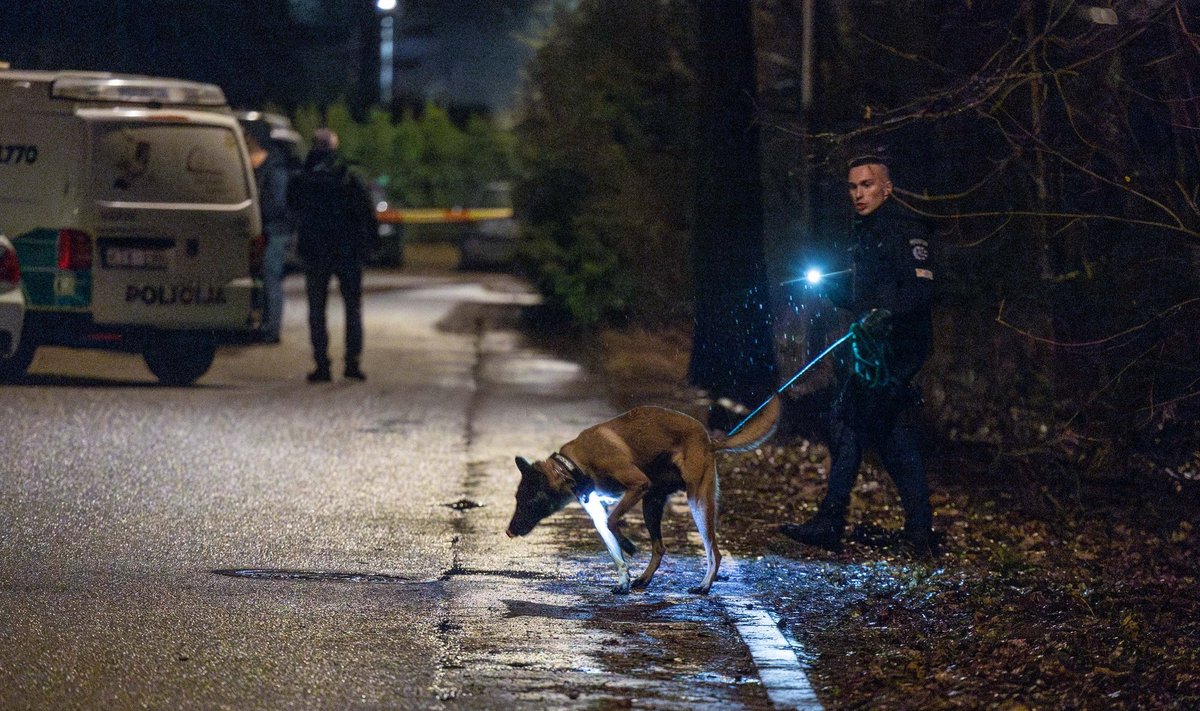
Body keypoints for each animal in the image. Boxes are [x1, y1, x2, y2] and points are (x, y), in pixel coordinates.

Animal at [504, 393, 777, 593]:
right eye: (517, 499)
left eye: (529, 501)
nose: (508, 532)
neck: (572, 466)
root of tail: (709, 440)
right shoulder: (601, 512)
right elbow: (613, 548)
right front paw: (623, 580)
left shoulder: (637, 484)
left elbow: (614, 522)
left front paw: (629, 545)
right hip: (651, 504)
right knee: (659, 548)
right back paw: (645, 579)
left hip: (697, 502)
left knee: (714, 552)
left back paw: (705, 584)